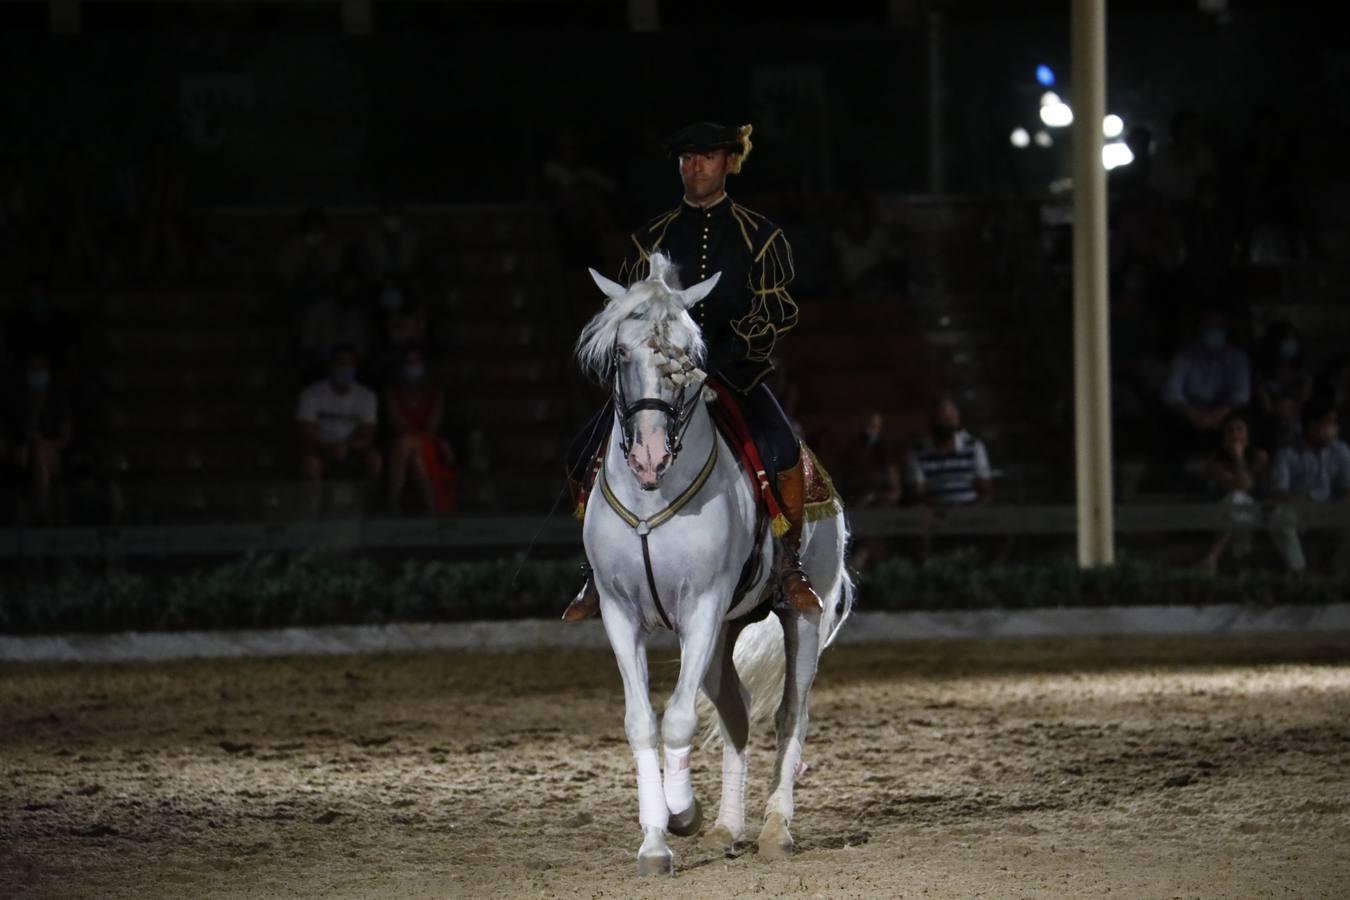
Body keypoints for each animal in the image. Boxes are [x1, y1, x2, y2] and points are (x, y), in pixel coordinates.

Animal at [577, 252, 853, 874]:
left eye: (689, 354)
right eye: (622, 353)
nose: (650, 455)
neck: (652, 499)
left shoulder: (701, 607)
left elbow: (678, 718)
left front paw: (680, 813)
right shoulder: (620, 614)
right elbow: (642, 722)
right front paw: (658, 839)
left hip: (799, 615)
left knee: (790, 715)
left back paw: (775, 829)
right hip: (724, 632)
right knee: (736, 712)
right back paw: (727, 827)